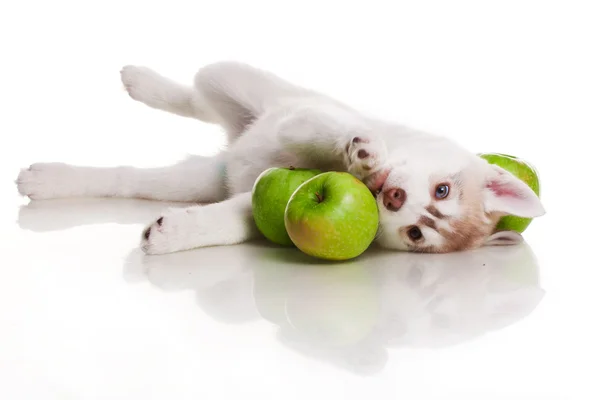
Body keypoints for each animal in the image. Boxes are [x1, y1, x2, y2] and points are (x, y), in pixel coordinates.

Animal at [16, 62, 548, 256]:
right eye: (442, 189)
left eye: (417, 233)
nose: (394, 196)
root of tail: (234, 144)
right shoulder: (308, 118)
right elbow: (336, 133)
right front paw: (363, 153)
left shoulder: (257, 203)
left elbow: (231, 221)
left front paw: (175, 233)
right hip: (237, 80)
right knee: (195, 92)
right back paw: (141, 80)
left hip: (202, 177)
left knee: (132, 178)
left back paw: (47, 180)